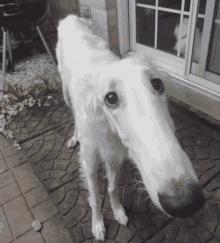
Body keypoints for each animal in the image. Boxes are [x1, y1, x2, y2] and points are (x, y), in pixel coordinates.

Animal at [56, 15, 205, 241]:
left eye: (157, 84)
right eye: (110, 98)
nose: (185, 201)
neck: (108, 130)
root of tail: (70, 17)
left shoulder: (115, 156)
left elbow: (112, 187)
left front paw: (118, 211)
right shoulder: (89, 161)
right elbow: (94, 196)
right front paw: (97, 225)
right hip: (65, 93)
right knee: (72, 113)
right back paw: (74, 137)